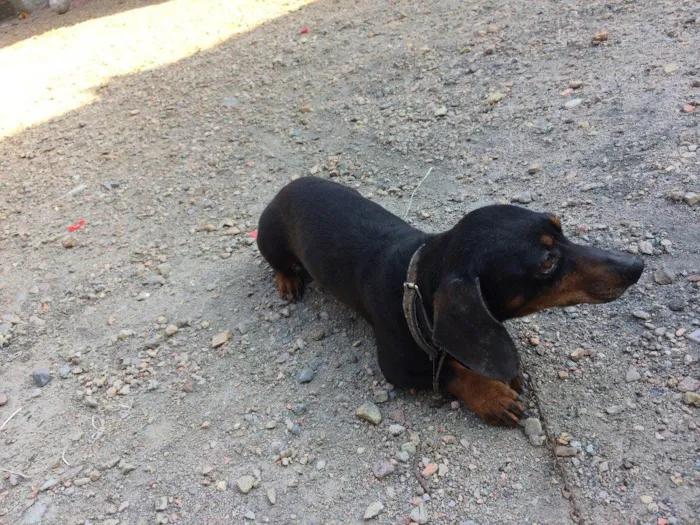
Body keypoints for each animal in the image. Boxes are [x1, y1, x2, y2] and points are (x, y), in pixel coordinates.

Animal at [254, 177, 644, 426]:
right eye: (547, 262)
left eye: (560, 227)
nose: (636, 265)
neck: (415, 286)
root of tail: (286, 188)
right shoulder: (396, 368)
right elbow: (450, 372)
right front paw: (492, 395)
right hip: (270, 239)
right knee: (277, 263)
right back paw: (287, 279)